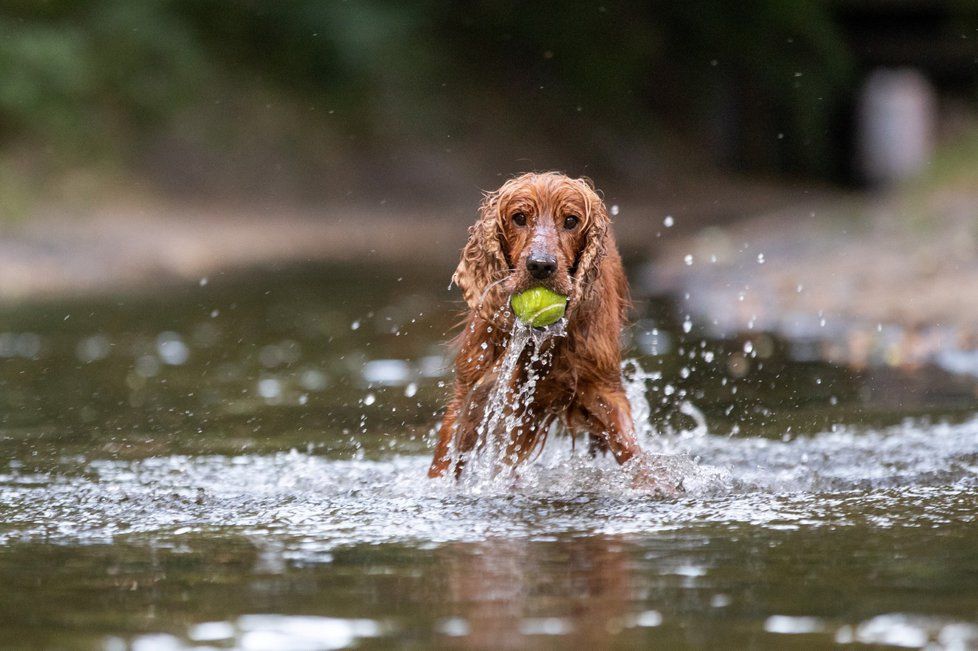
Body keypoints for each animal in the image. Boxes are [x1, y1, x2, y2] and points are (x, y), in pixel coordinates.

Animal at [426, 171, 656, 486]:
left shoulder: (604, 387)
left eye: (571, 220)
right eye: (519, 217)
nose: (540, 266)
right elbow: (446, 456)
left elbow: (629, 446)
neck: (540, 340)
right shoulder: (472, 391)